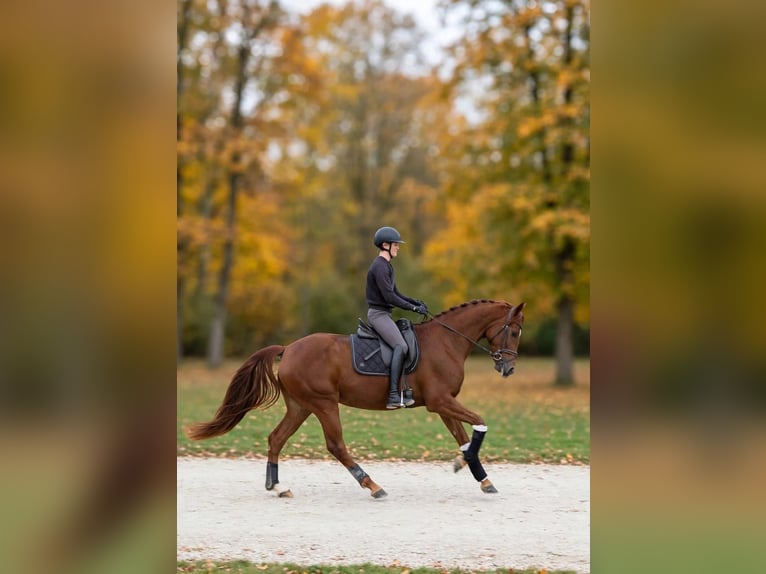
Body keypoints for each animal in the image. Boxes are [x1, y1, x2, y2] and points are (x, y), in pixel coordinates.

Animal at [186, 299, 525, 498]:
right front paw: (466, 466)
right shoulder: (440, 401)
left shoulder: (444, 405)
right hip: (324, 404)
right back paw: (372, 485)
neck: (446, 341)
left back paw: (279, 486)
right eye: (514, 332)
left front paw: (479, 476)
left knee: (276, 438)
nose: (508, 368)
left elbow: (464, 439)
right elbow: (479, 424)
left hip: (301, 406)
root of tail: (289, 348)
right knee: (335, 445)